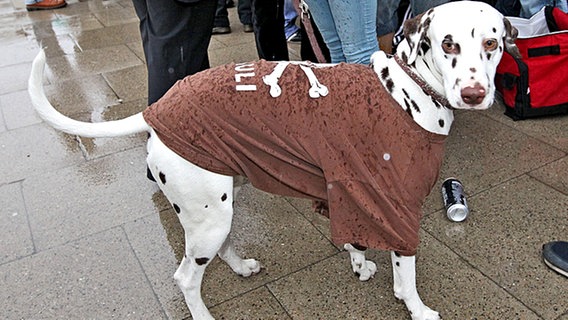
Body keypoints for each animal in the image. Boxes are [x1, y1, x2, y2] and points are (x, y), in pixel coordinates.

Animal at [27, 1, 520, 318]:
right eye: (448, 45)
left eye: (492, 44)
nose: (474, 94)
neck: (406, 89)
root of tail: (156, 111)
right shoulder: (396, 207)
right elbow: (407, 275)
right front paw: (416, 308)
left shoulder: (350, 192)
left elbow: (355, 240)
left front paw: (358, 263)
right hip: (207, 216)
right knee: (186, 278)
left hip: (219, 203)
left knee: (218, 248)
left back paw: (240, 266)